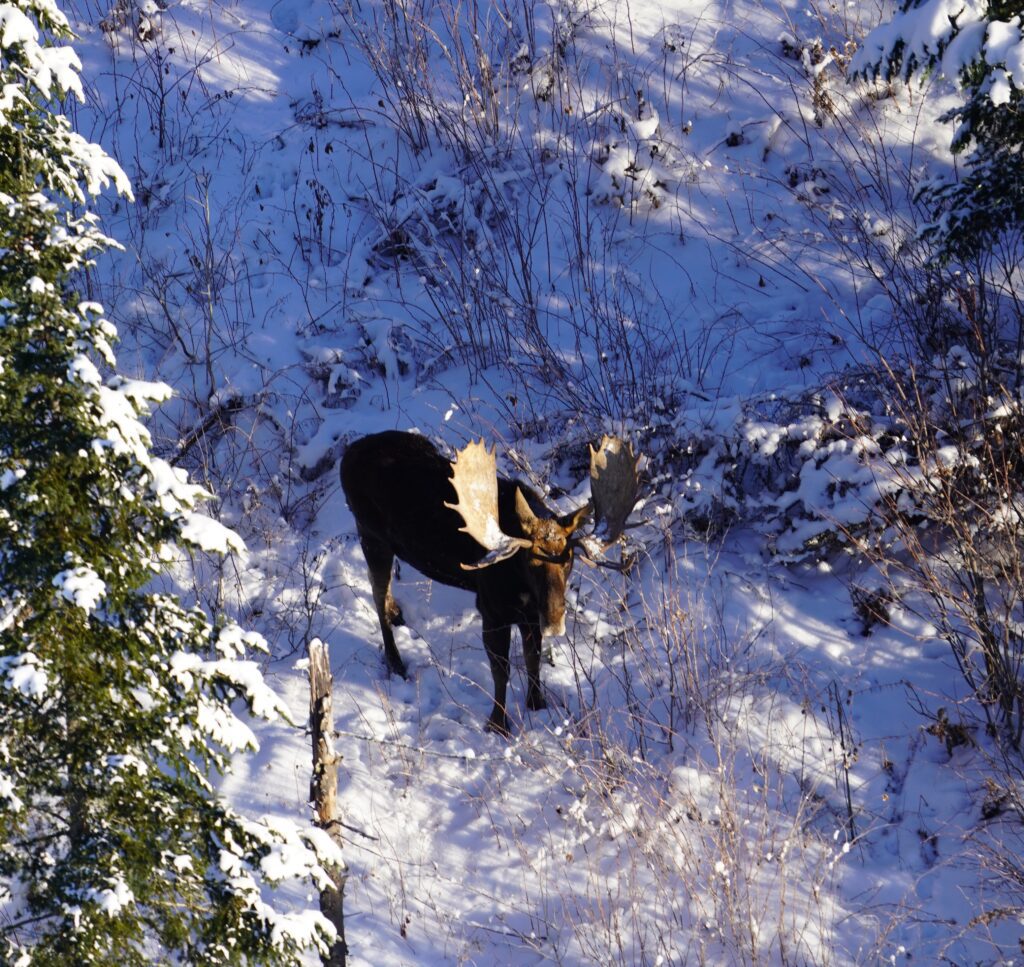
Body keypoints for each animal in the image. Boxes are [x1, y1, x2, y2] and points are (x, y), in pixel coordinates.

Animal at [339, 430, 634, 733]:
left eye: (569, 560)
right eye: (532, 561)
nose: (554, 622)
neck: (521, 583)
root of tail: (346, 456)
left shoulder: (530, 613)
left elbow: (533, 659)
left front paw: (537, 705)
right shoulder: (492, 608)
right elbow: (500, 670)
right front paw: (497, 724)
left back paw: (397, 613)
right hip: (371, 535)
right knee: (376, 592)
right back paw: (396, 662)